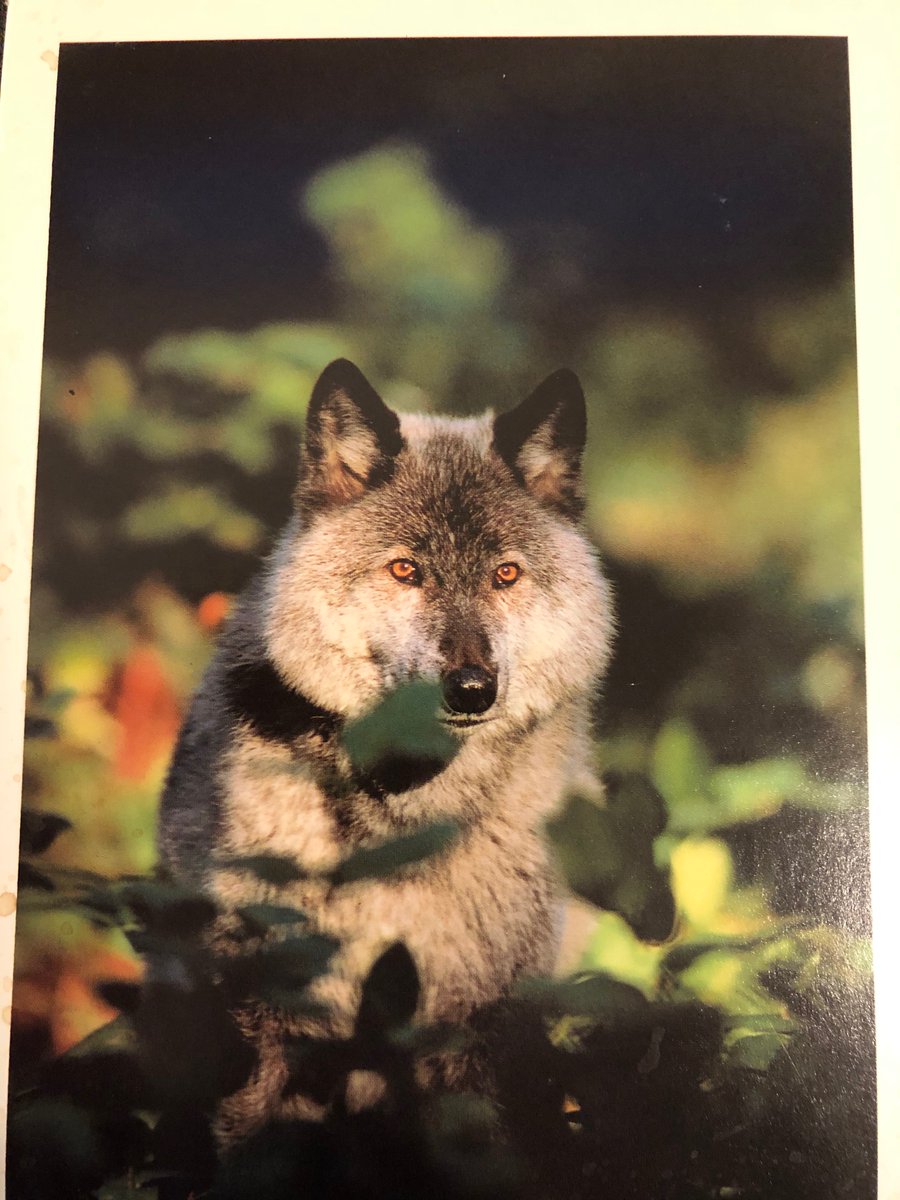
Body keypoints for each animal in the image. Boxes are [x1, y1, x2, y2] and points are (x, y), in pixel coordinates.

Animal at [157, 358, 614, 1142]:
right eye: (407, 571)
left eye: (505, 575)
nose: (472, 687)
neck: (404, 824)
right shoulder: (273, 1010)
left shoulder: (475, 1017)